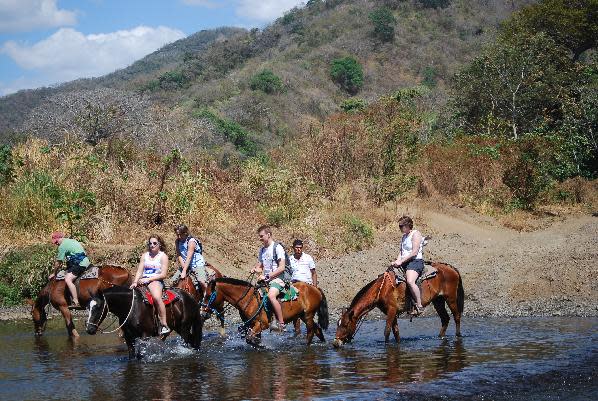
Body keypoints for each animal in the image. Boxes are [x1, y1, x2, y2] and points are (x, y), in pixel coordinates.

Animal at [336, 260, 466, 346]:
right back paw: (440, 337)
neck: (382, 289)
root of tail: (451, 268)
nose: (335, 343)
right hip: (438, 300)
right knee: (445, 318)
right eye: (338, 324)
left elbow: (387, 331)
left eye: (345, 325)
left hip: (450, 298)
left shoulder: (392, 310)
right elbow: (396, 331)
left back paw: (457, 336)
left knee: (457, 316)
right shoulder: (391, 312)